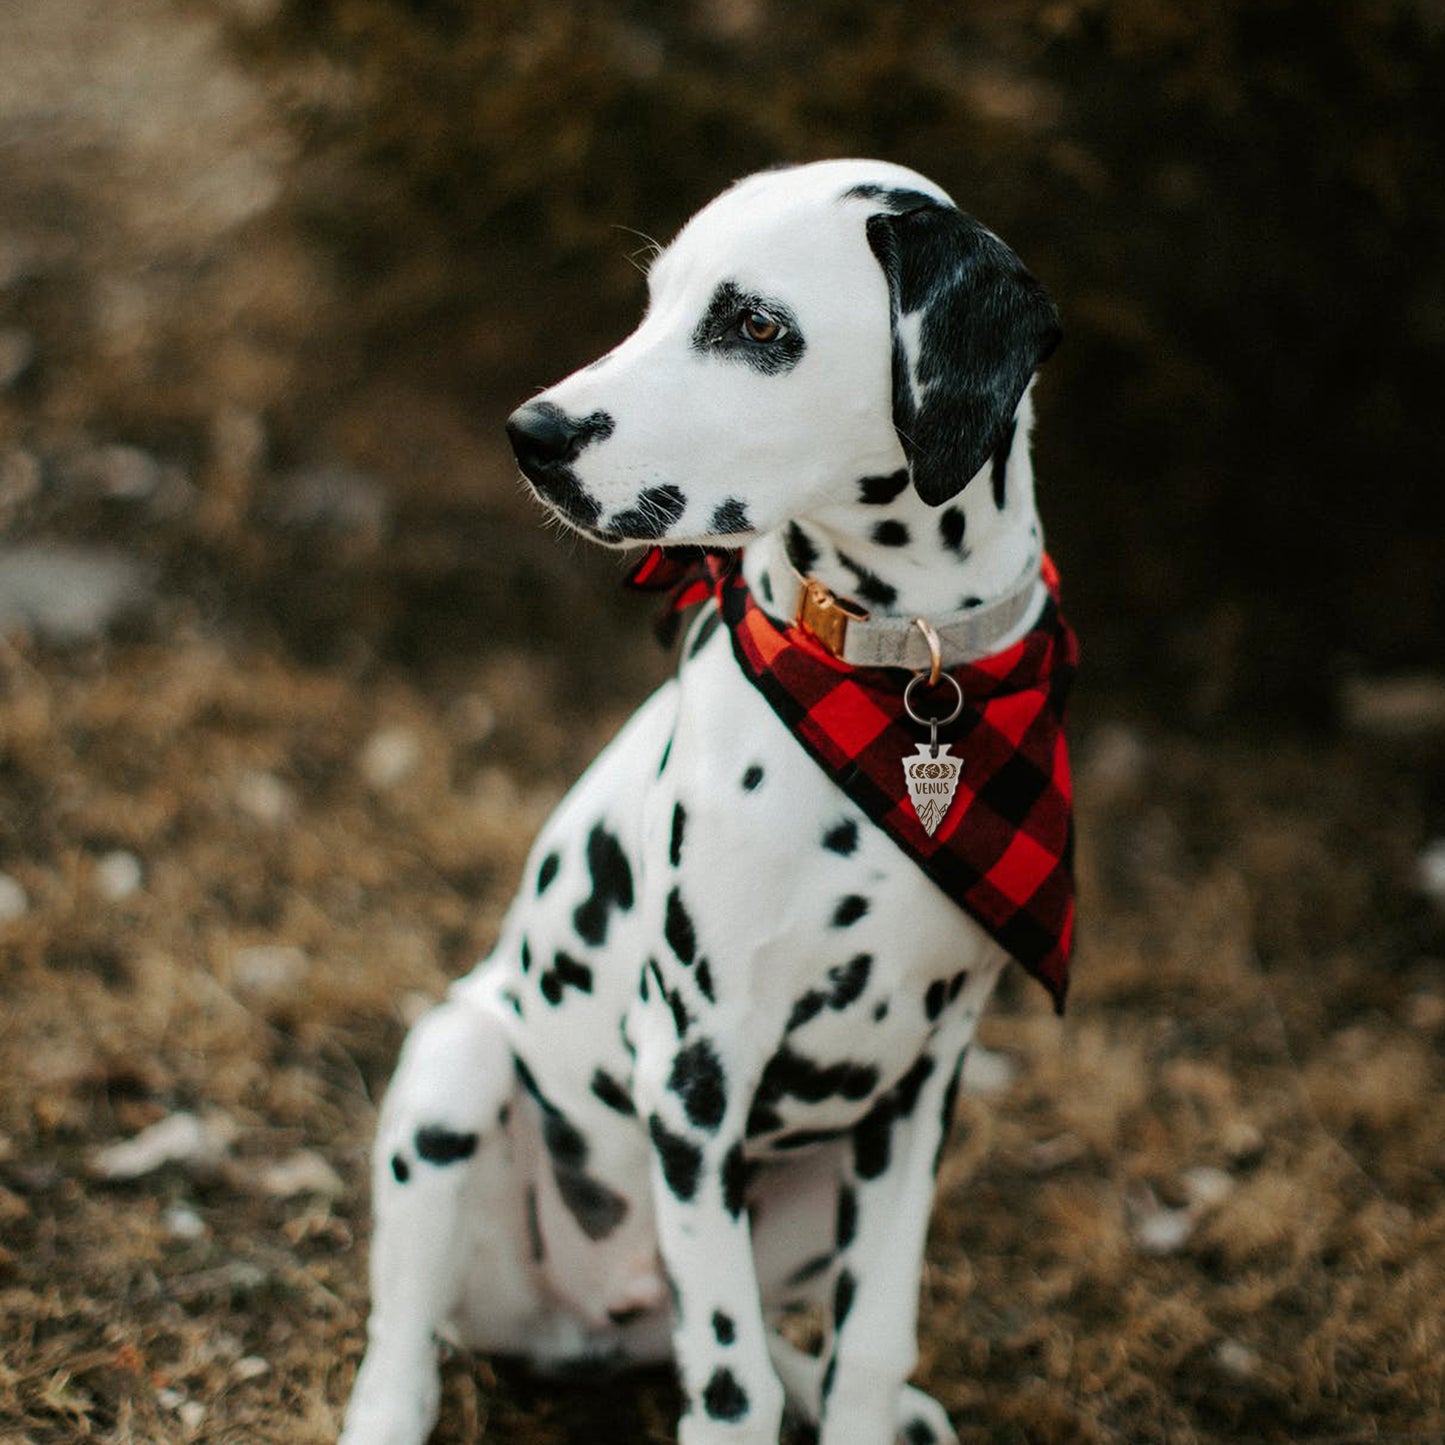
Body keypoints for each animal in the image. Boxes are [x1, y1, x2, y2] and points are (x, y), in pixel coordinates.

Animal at [338, 161, 1063, 1445]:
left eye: (756, 326)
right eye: (651, 301)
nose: (531, 434)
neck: (898, 674)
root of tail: (593, 1317)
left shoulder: (918, 1091)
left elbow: (867, 1342)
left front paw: (864, 1402)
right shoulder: (691, 1070)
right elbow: (725, 1386)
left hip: (806, 1189)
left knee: (778, 1342)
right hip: (453, 1074)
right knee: (404, 1343)